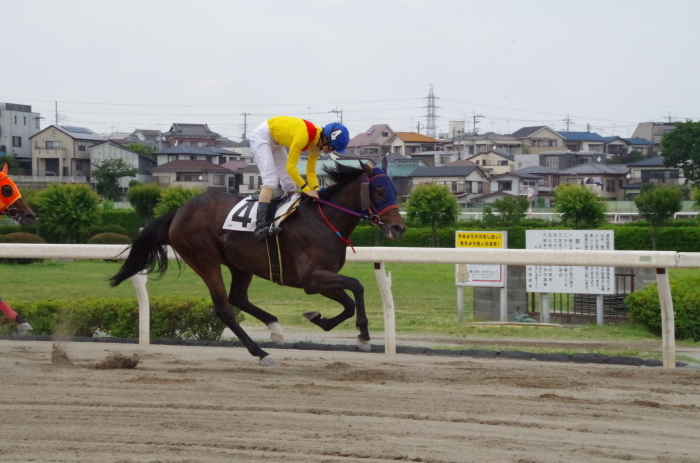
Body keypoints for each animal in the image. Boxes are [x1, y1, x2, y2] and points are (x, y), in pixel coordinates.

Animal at [111, 161, 408, 364]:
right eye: (379, 190)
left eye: (393, 188)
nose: (399, 227)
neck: (324, 221)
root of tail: (179, 211)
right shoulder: (311, 278)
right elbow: (357, 286)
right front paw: (364, 336)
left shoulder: (320, 280)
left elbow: (347, 303)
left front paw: (319, 319)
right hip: (204, 260)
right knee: (224, 308)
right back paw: (262, 352)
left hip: (240, 264)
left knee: (238, 297)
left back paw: (275, 329)